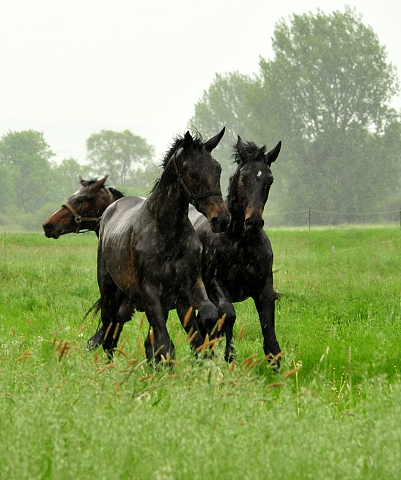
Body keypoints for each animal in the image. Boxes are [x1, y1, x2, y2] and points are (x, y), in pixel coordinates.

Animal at [88, 129, 230, 362]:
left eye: (217, 169)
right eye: (192, 172)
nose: (222, 219)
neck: (166, 233)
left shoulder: (190, 284)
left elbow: (206, 319)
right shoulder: (150, 291)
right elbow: (163, 341)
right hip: (110, 290)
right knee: (110, 331)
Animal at [188, 137, 280, 366]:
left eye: (269, 180)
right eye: (243, 178)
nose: (253, 222)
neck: (240, 242)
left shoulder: (264, 288)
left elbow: (268, 327)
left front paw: (275, 363)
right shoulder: (216, 285)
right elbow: (228, 314)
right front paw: (229, 355)